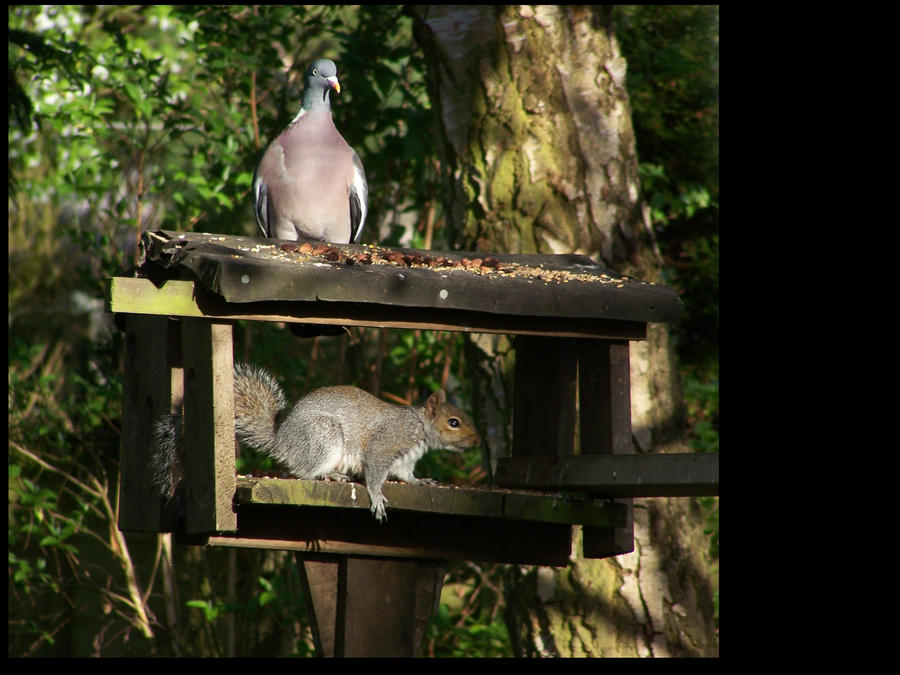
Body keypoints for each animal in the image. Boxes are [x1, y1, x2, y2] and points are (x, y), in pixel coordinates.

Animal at [151, 364, 482, 524]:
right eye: (454, 422)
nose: (478, 440)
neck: (420, 429)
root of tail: (282, 440)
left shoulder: (404, 461)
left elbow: (406, 475)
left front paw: (422, 481)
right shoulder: (385, 444)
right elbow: (375, 472)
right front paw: (377, 497)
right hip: (324, 436)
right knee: (304, 472)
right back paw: (331, 475)